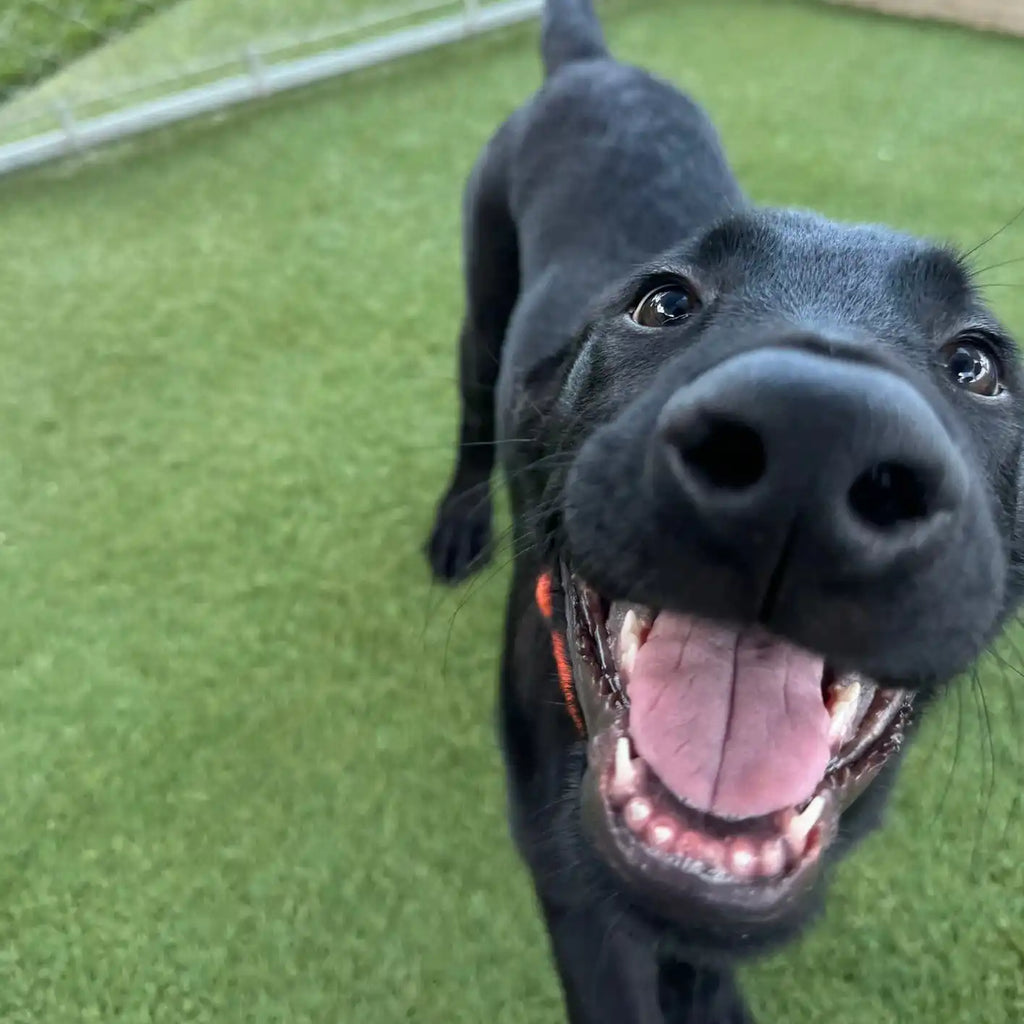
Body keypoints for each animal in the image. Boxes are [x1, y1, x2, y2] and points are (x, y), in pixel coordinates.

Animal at [425, 4, 1024, 1019]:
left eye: (977, 364)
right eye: (662, 302)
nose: (816, 441)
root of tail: (592, 65)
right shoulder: (564, 871)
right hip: (482, 290)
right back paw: (459, 524)